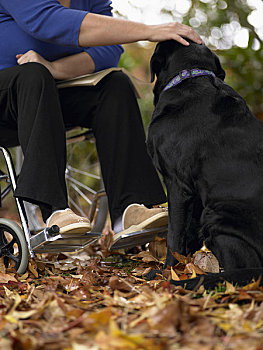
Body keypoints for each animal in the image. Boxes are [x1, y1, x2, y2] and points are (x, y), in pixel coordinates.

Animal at [147, 39, 263, 288]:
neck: (190, 74)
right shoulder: (197, 192)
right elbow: (188, 234)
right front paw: (186, 267)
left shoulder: (177, 184)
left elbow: (174, 234)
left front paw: (167, 272)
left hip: (217, 214)